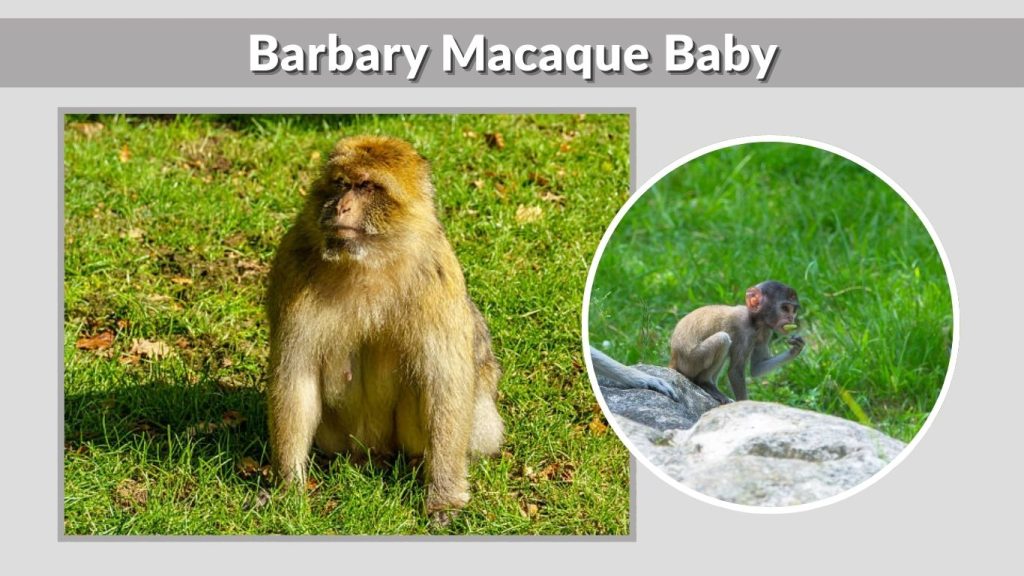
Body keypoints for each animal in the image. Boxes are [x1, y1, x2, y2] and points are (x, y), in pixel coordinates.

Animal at [265, 135, 504, 525]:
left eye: (367, 187)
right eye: (341, 183)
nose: (341, 206)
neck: (368, 262)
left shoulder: (437, 270)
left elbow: (445, 384)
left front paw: (443, 498)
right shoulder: (293, 263)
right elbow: (296, 377)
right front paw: (289, 488)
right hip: (339, 438)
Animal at [669, 280, 805, 403]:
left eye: (794, 310)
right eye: (785, 308)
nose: (791, 318)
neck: (754, 320)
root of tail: (674, 358)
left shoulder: (765, 331)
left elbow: (756, 368)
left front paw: (796, 348)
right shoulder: (742, 331)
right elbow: (735, 371)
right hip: (690, 361)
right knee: (723, 339)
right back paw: (705, 382)